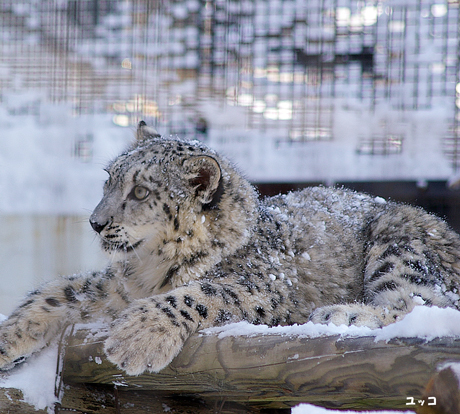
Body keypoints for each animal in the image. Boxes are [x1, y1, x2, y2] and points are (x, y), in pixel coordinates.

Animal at [0, 121, 460, 376]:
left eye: (141, 191)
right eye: (108, 180)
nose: (96, 222)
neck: (150, 270)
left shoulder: (265, 287)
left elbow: (201, 292)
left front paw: (136, 338)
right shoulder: (115, 289)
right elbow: (55, 292)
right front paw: (7, 341)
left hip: (398, 239)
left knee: (420, 302)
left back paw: (343, 313)